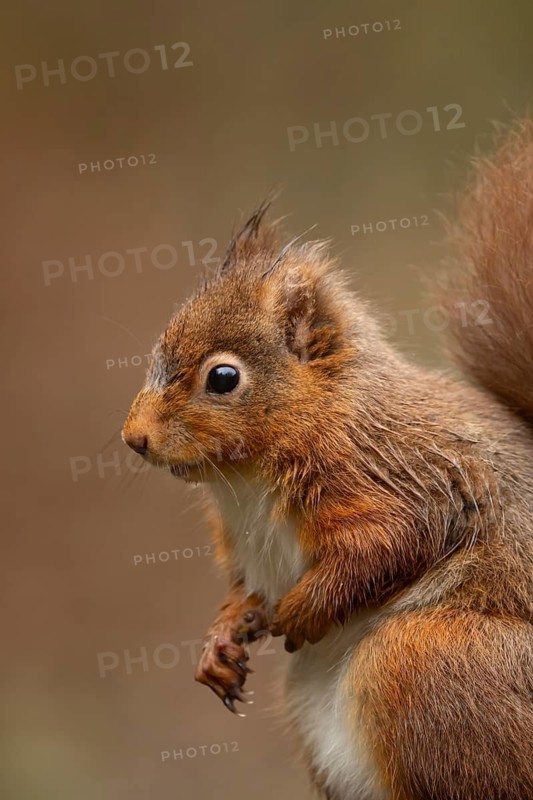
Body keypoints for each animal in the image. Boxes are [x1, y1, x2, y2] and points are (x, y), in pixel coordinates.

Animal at [122, 120, 533, 800]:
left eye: (224, 378)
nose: (134, 439)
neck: (244, 481)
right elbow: (244, 589)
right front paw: (226, 634)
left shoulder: (399, 475)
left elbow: (386, 545)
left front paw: (297, 611)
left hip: (432, 665)